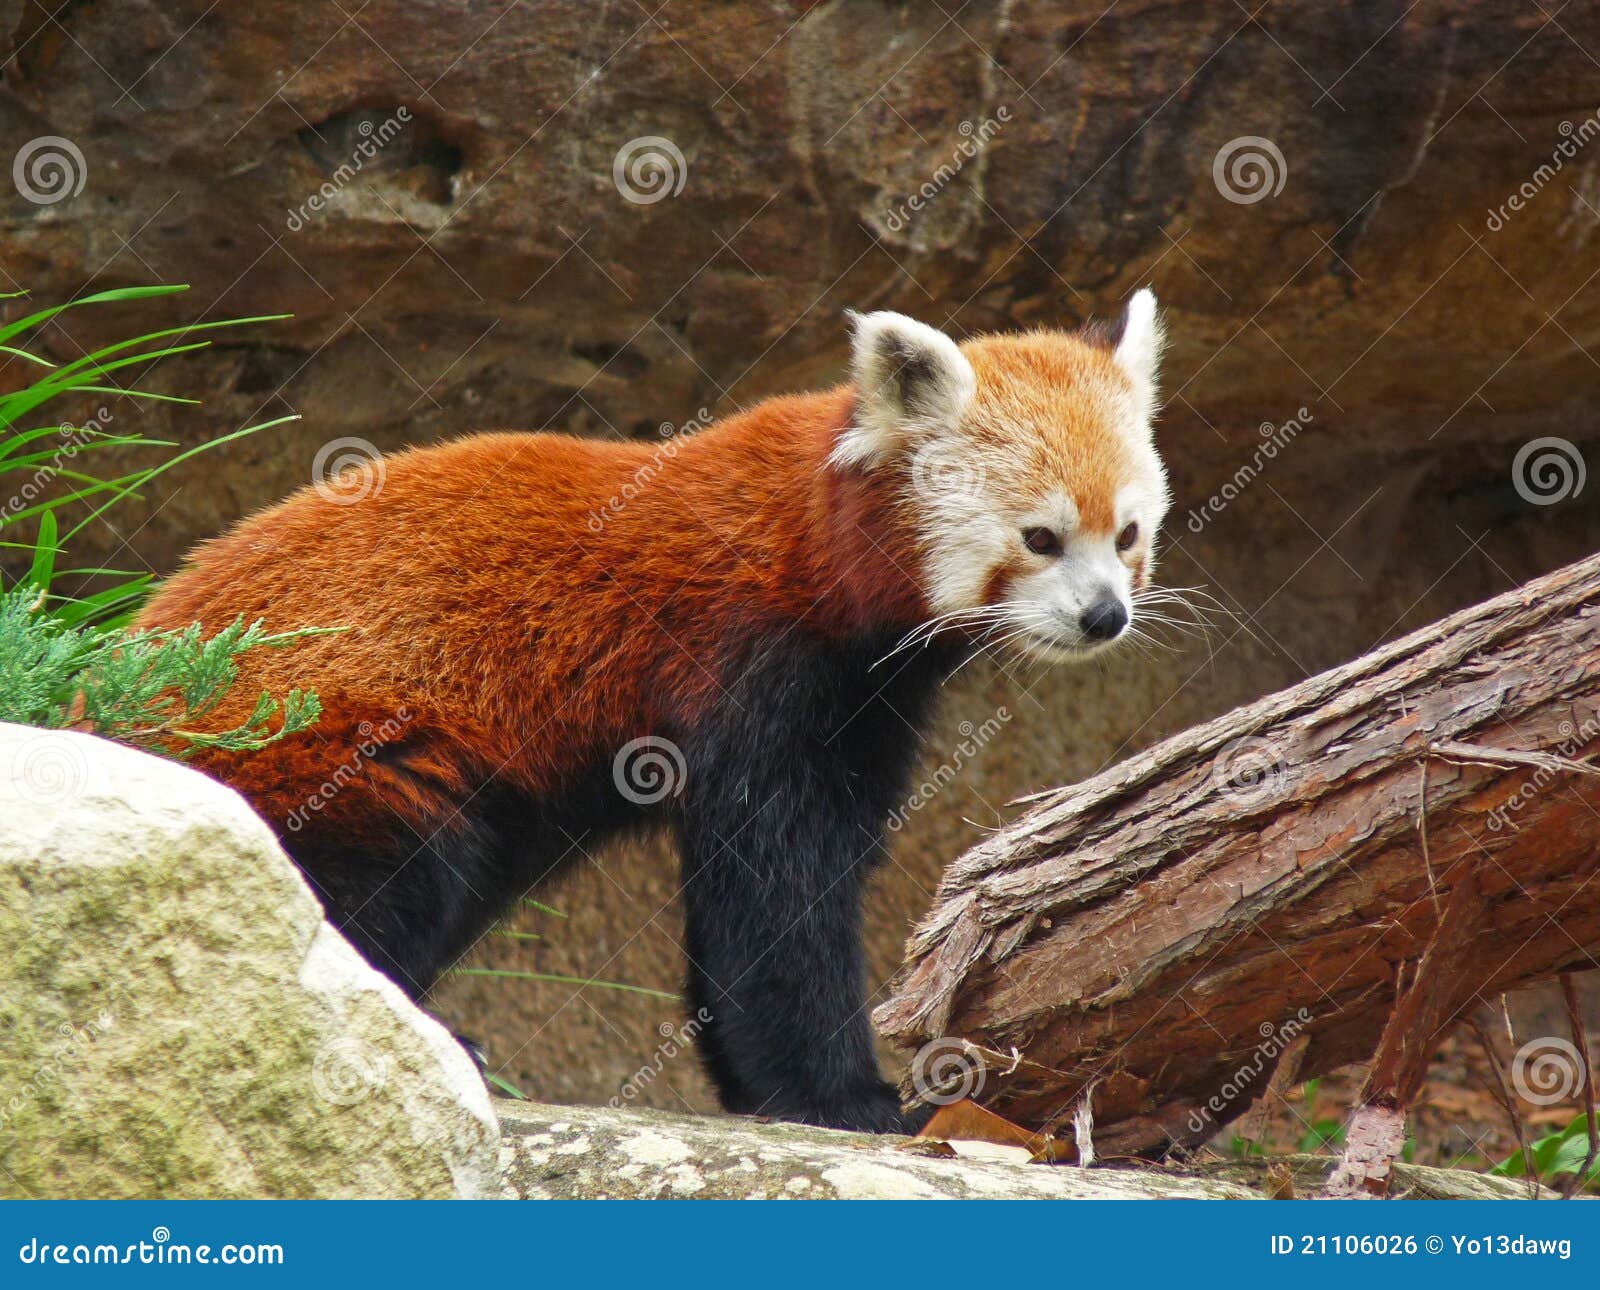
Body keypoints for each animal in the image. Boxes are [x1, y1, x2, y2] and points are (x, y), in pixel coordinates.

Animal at [140, 289, 1177, 1133]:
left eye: (1127, 534)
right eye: (1040, 538)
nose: (1105, 615)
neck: (818, 556)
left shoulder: (868, 694)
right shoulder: (751, 663)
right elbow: (774, 893)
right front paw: (844, 1097)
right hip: (331, 747)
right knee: (361, 884)